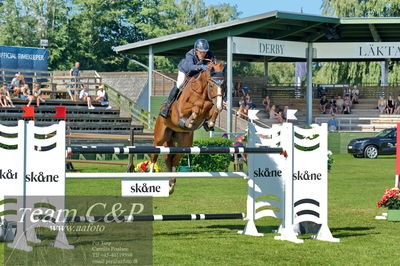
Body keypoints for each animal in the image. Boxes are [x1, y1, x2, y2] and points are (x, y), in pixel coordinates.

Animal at [150, 61, 225, 192]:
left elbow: (211, 108)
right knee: (154, 154)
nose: (220, 105)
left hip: (184, 143)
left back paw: (171, 184)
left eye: (223, 85)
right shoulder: (182, 109)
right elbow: (197, 106)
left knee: (173, 159)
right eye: (211, 85)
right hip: (160, 137)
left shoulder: (210, 104)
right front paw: (190, 120)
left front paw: (210, 123)